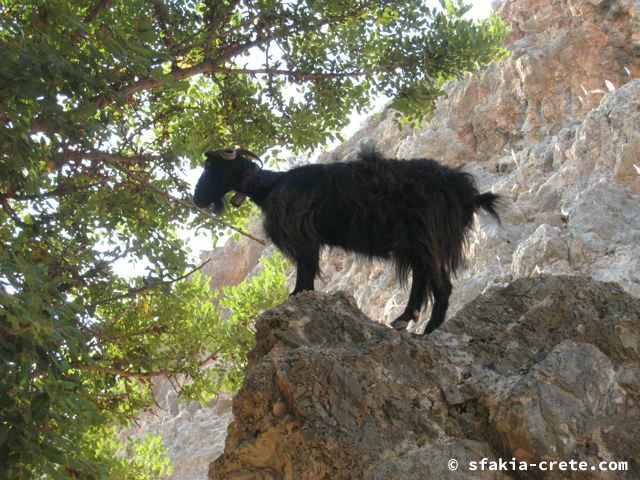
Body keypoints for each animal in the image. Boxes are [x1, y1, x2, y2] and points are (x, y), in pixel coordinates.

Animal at [192, 147, 502, 334]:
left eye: (210, 166)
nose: (197, 199)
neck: (270, 186)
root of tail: (467, 193)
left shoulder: (303, 236)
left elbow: (305, 270)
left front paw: (296, 296)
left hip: (430, 237)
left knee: (442, 286)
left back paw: (430, 331)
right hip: (416, 243)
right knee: (422, 280)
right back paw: (404, 318)